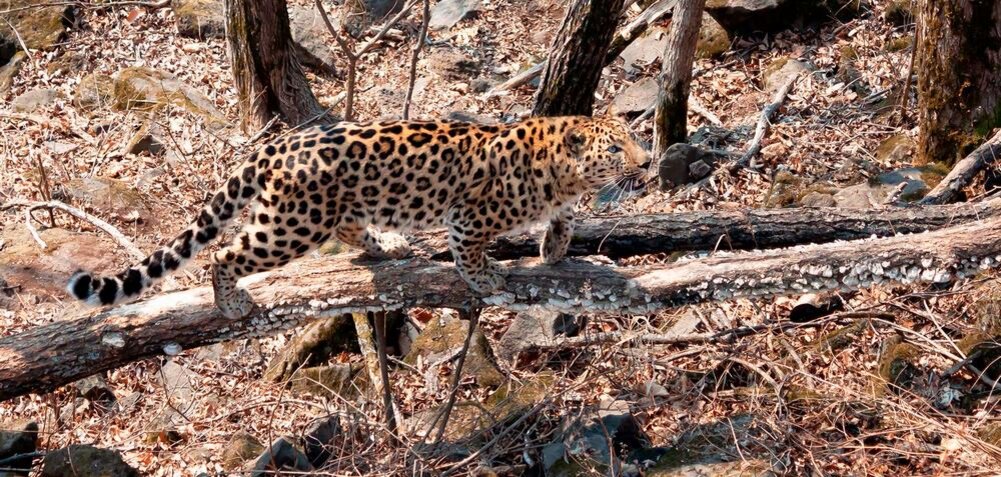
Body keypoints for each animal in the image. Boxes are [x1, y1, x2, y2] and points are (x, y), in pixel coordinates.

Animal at [68, 114, 648, 316]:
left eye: (632, 138)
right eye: (615, 148)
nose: (645, 162)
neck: (563, 170)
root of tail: (276, 144)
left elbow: (566, 219)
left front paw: (554, 247)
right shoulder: (467, 219)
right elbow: (471, 255)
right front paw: (489, 282)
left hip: (325, 212)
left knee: (349, 227)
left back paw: (385, 244)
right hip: (292, 224)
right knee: (225, 254)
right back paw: (230, 303)